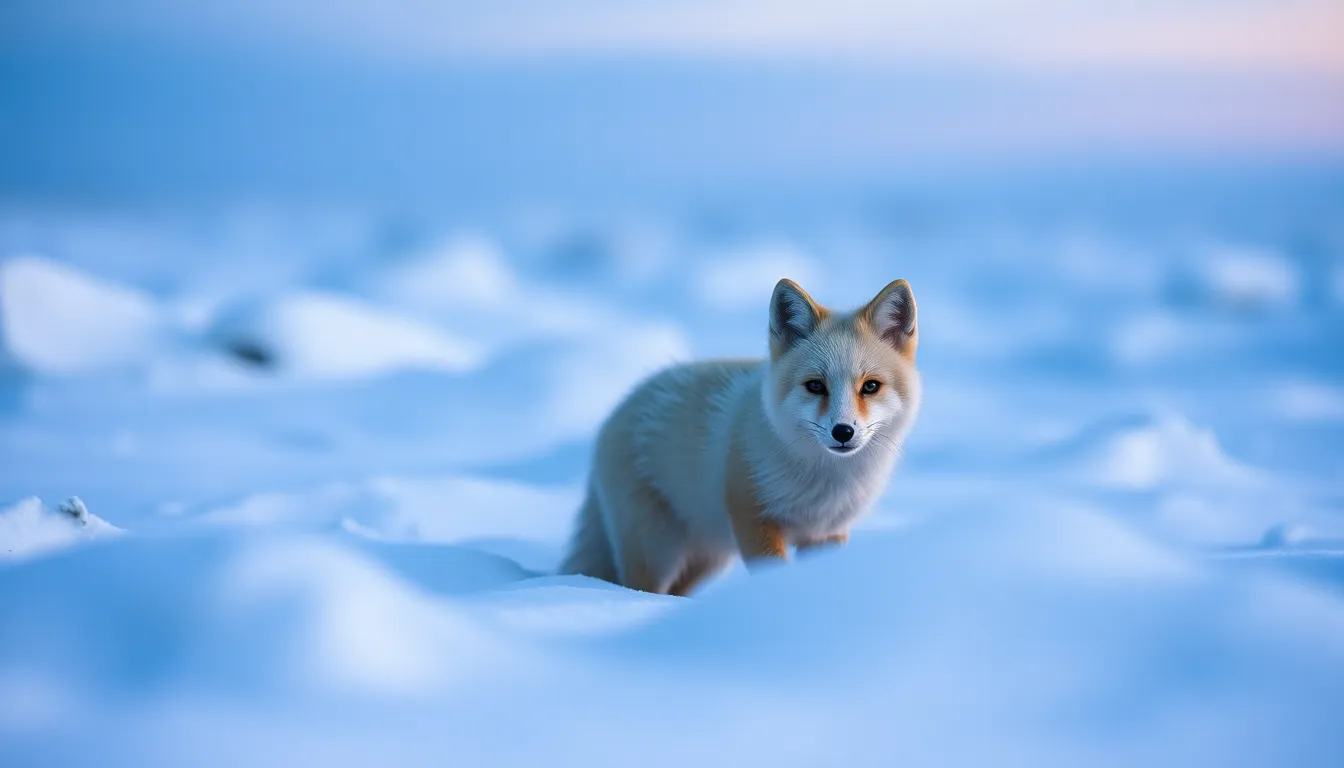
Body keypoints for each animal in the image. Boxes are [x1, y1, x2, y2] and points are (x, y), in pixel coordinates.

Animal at [558, 277, 921, 596]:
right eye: (816, 386)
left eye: (870, 386)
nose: (843, 431)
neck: (824, 483)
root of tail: (620, 406)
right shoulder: (753, 519)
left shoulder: (826, 533)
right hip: (657, 549)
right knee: (637, 586)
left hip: (709, 558)